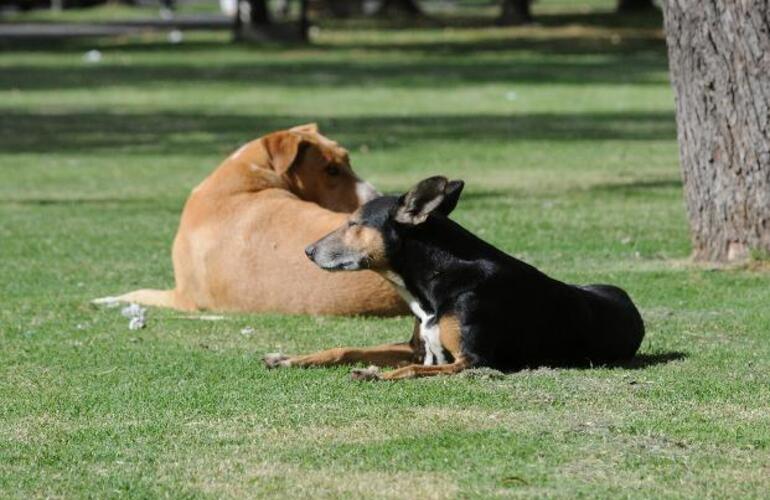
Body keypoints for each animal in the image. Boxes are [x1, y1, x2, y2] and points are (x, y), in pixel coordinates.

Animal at [94, 123, 408, 314]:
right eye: (332, 169)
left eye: (348, 160)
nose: (378, 197)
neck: (249, 178)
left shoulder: (181, 297)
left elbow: (132, 293)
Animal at [264, 176, 640, 378]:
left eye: (353, 224)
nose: (308, 251)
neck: (436, 281)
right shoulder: (415, 348)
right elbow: (344, 349)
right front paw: (288, 358)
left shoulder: (472, 361)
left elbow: (413, 370)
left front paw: (375, 374)